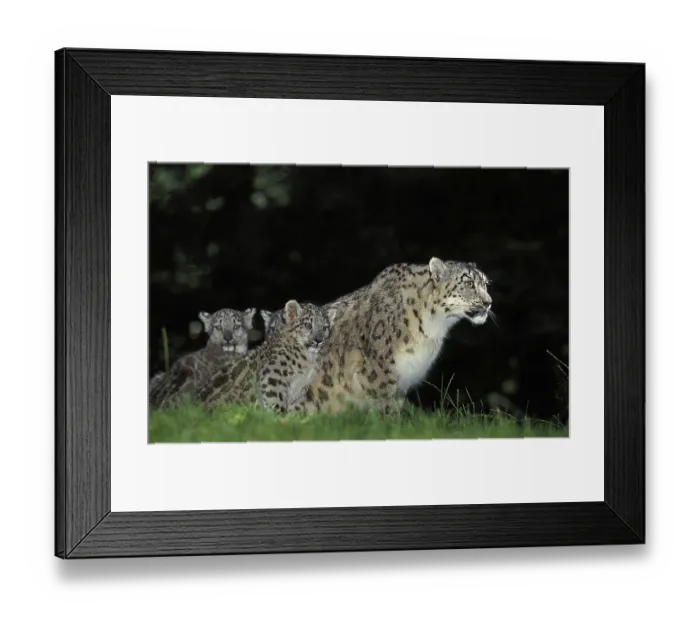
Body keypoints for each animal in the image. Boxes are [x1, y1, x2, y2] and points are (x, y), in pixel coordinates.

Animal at [196, 301, 336, 413]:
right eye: (308, 325)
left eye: (325, 327)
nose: (318, 340)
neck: (309, 359)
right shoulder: (274, 374)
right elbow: (275, 399)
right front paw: (279, 417)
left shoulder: (302, 387)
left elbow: (296, 405)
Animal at [287, 257, 493, 415]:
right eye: (469, 283)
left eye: (485, 284)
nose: (488, 302)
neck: (434, 327)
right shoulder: (379, 367)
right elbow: (386, 403)